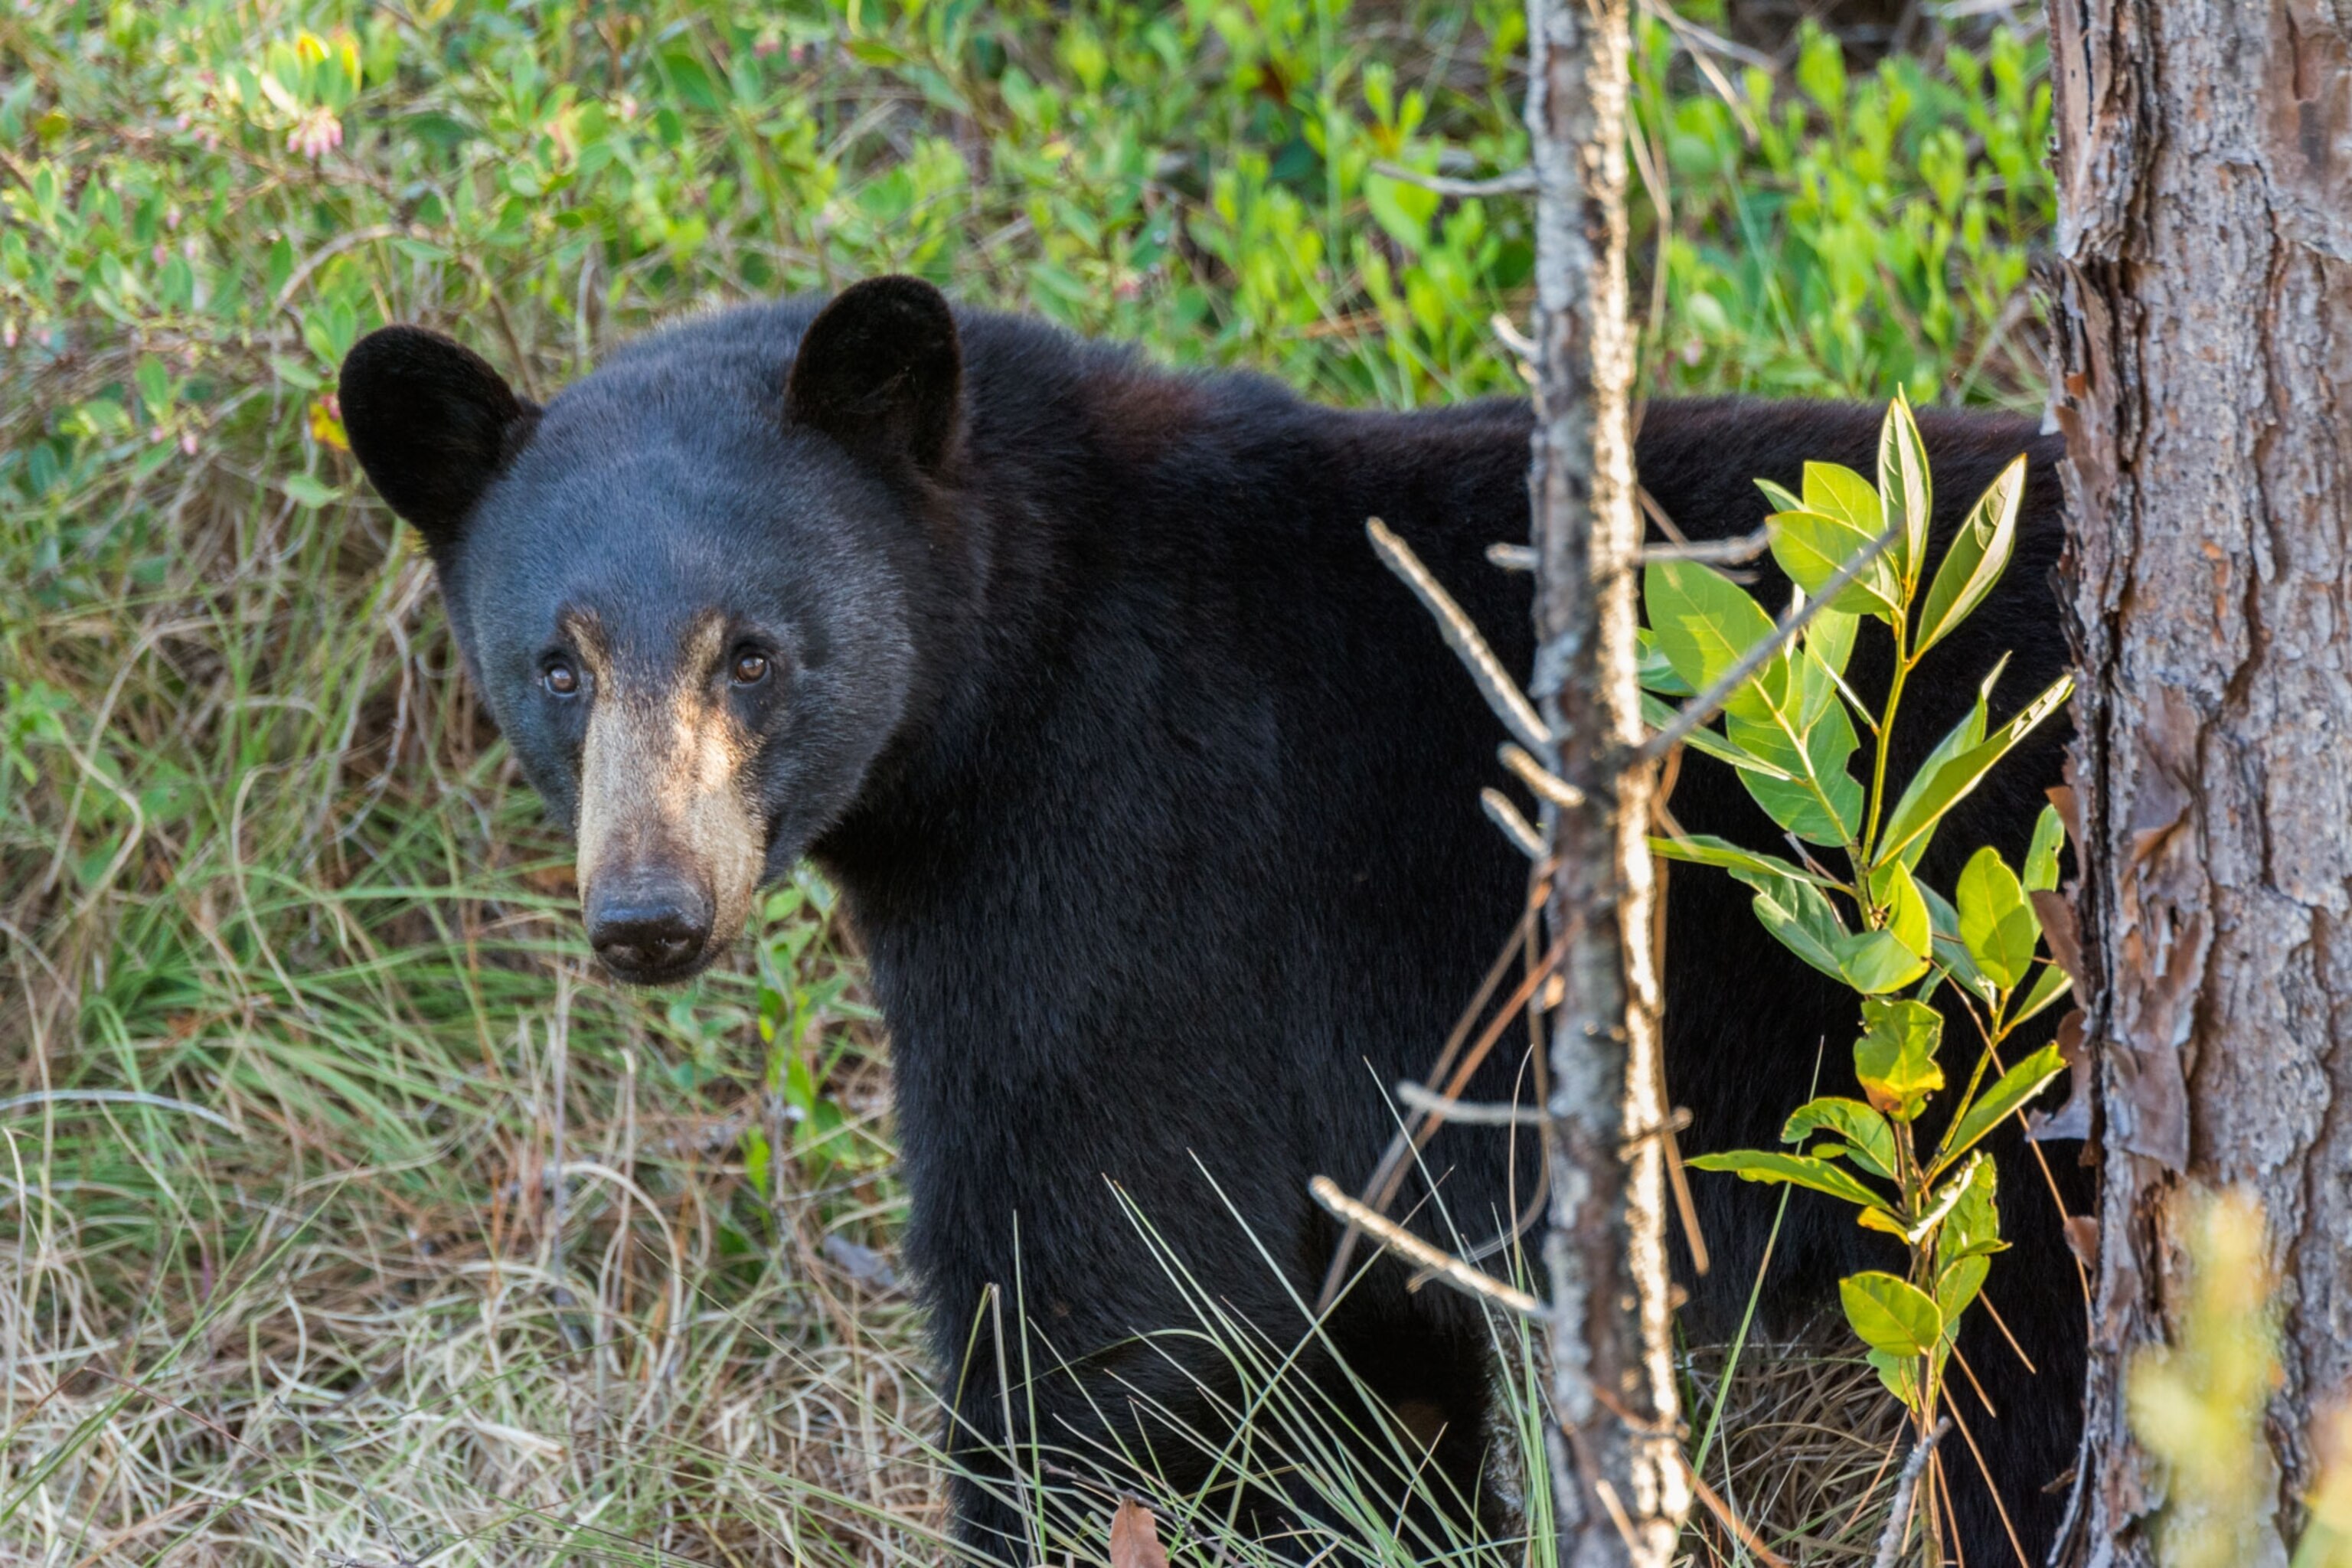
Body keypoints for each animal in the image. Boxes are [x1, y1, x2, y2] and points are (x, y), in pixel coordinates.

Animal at [338, 276, 2085, 1564]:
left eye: (753, 652)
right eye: (557, 663)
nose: (650, 910)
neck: (1019, 660)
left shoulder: (1136, 873)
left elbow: (1109, 1292)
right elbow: (1352, 1358)